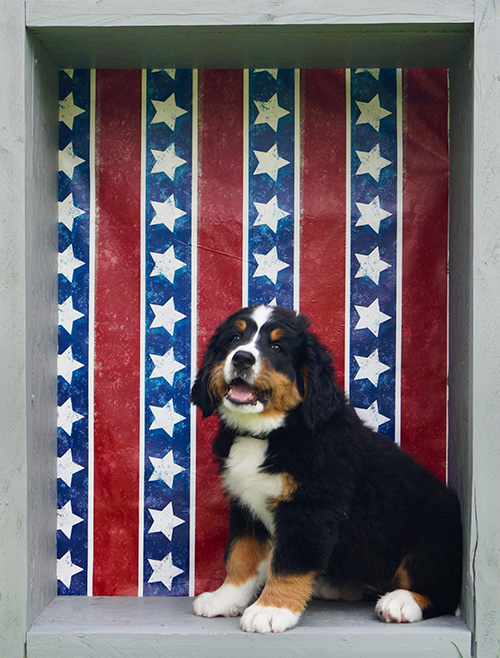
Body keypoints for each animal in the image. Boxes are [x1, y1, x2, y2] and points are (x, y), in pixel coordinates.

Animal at [191, 304, 462, 633]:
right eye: (234, 339)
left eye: (277, 348)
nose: (242, 358)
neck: (270, 433)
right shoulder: (246, 508)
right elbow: (241, 556)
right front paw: (224, 598)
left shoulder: (311, 509)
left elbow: (288, 564)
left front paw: (271, 609)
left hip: (433, 533)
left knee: (444, 592)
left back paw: (401, 602)